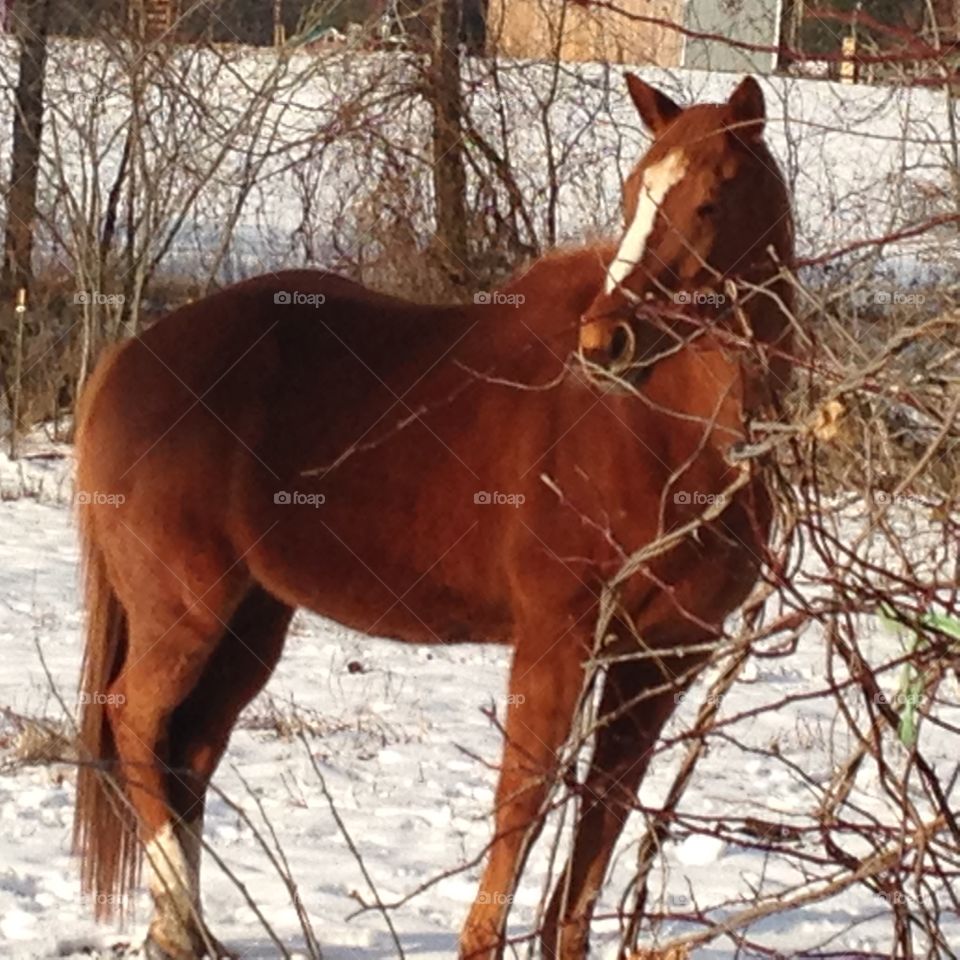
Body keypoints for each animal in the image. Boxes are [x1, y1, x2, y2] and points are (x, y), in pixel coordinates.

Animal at [73, 74, 794, 960]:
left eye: (710, 200)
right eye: (634, 196)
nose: (607, 341)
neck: (664, 428)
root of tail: (130, 358)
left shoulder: (662, 657)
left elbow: (603, 813)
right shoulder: (557, 637)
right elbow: (524, 799)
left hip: (253, 618)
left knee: (191, 748)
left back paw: (184, 924)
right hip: (184, 611)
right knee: (138, 724)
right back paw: (178, 918)